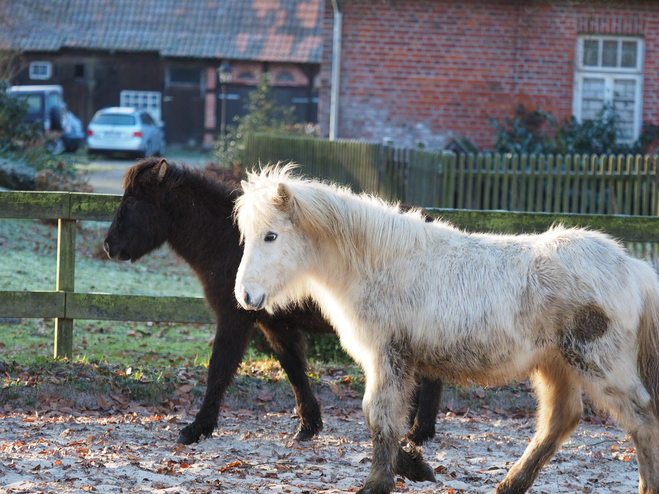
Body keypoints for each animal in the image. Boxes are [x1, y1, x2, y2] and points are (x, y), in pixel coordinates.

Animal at [103, 159, 444, 448]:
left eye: (131, 202)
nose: (108, 246)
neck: (226, 241)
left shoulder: (235, 320)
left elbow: (219, 370)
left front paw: (197, 428)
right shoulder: (276, 326)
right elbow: (294, 370)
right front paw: (309, 426)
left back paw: (418, 432)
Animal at [235, 166, 659, 494]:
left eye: (271, 235)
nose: (245, 295)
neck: (380, 262)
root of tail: (635, 268)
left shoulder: (388, 356)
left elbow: (381, 417)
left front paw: (379, 482)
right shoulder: (391, 361)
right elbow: (383, 418)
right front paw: (414, 467)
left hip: (598, 363)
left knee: (643, 419)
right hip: (556, 365)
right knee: (560, 419)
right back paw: (510, 484)